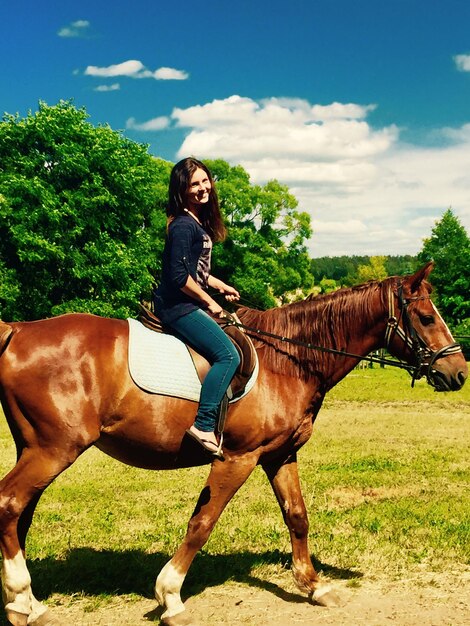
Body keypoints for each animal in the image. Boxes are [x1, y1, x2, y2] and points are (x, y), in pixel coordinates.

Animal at [0, 264, 464, 624]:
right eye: (426, 317)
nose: (458, 372)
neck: (288, 361)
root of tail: (17, 330)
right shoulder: (238, 458)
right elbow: (202, 522)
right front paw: (170, 596)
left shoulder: (280, 454)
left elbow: (297, 515)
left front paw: (314, 585)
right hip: (53, 451)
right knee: (10, 504)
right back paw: (24, 600)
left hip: (36, 449)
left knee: (19, 513)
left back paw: (26, 602)